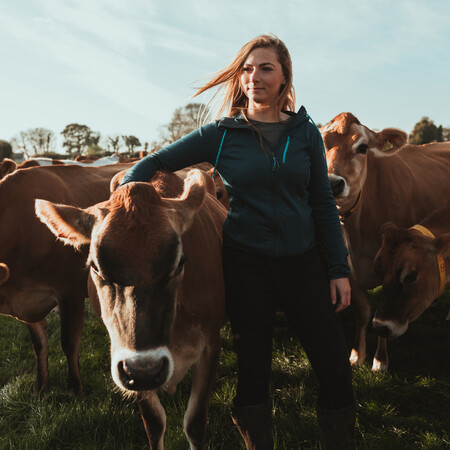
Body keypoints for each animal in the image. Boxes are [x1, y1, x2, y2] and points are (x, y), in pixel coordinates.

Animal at [0, 162, 133, 390]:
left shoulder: (70, 290)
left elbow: (69, 341)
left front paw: (75, 388)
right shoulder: (30, 299)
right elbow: (39, 345)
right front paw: (42, 386)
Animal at [34, 168, 229, 446]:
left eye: (180, 262)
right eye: (95, 267)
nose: (147, 370)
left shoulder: (211, 346)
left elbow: (195, 423)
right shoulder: (124, 359)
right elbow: (154, 422)